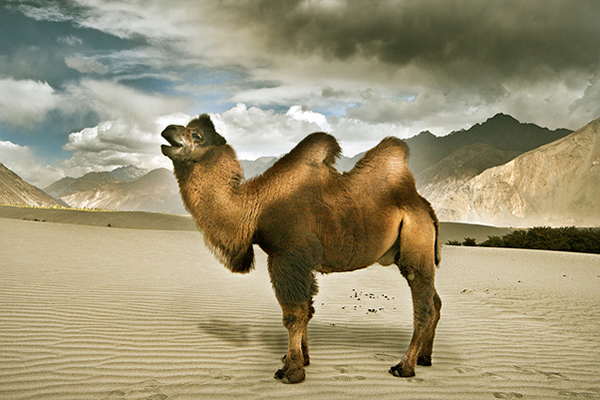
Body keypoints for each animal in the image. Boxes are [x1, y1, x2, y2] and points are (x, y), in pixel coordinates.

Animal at [159, 115, 440, 384]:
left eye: (197, 135)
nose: (167, 130)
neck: (255, 208)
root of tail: (426, 208)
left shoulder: (288, 256)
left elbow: (293, 315)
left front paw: (291, 371)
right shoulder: (299, 263)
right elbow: (307, 311)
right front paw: (301, 358)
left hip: (416, 246)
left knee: (424, 307)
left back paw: (404, 366)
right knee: (436, 302)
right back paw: (425, 358)